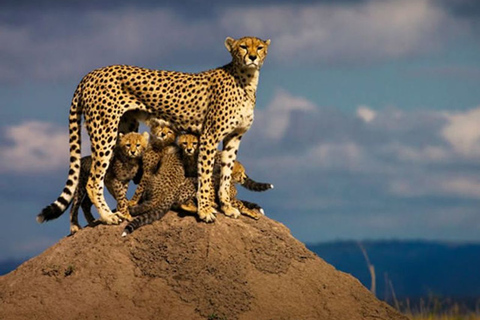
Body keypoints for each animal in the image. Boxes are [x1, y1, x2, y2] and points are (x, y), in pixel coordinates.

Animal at [37, 36, 270, 224]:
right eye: (242, 46)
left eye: (259, 47)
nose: (252, 57)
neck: (246, 80)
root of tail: (90, 73)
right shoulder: (209, 136)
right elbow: (205, 174)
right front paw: (204, 210)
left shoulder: (234, 137)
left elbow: (226, 173)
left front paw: (227, 207)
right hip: (104, 131)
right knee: (94, 181)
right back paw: (109, 216)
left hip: (124, 130)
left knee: (113, 177)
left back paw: (123, 210)